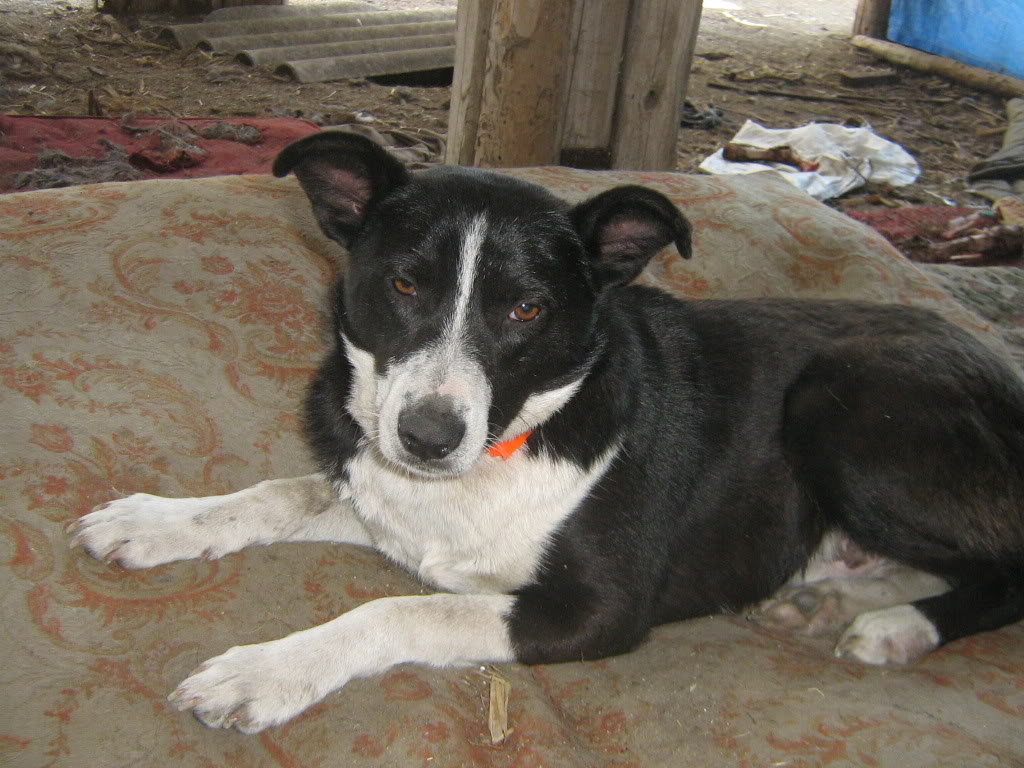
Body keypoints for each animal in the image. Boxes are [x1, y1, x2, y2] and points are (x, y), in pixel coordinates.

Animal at [70, 132, 1024, 733]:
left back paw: (899, 626)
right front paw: (156, 521)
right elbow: (282, 491)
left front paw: (265, 671)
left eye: (527, 309)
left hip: (843, 403)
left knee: (1006, 569)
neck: (516, 437)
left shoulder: (594, 611)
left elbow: (397, 607)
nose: (426, 437)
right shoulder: (384, 495)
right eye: (404, 286)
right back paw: (831, 597)